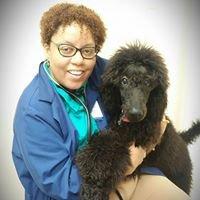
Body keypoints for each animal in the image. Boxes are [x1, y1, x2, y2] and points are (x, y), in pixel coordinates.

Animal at [76, 42, 199, 200]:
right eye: (124, 80)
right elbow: (105, 142)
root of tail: (182, 139)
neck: (132, 126)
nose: (135, 113)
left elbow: (115, 151)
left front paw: (95, 186)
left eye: (147, 82)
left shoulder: (138, 139)